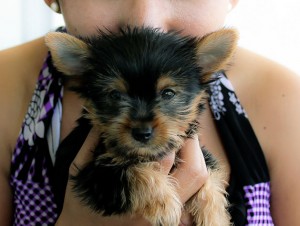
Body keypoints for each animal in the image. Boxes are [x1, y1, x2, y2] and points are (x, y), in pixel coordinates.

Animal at [47, 26, 238, 226]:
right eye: (115, 95)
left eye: (168, 93)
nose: (142, 133)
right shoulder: (95, 175)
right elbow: (132, 169)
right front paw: (164, 204)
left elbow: (209, 175)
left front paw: (214, 216)